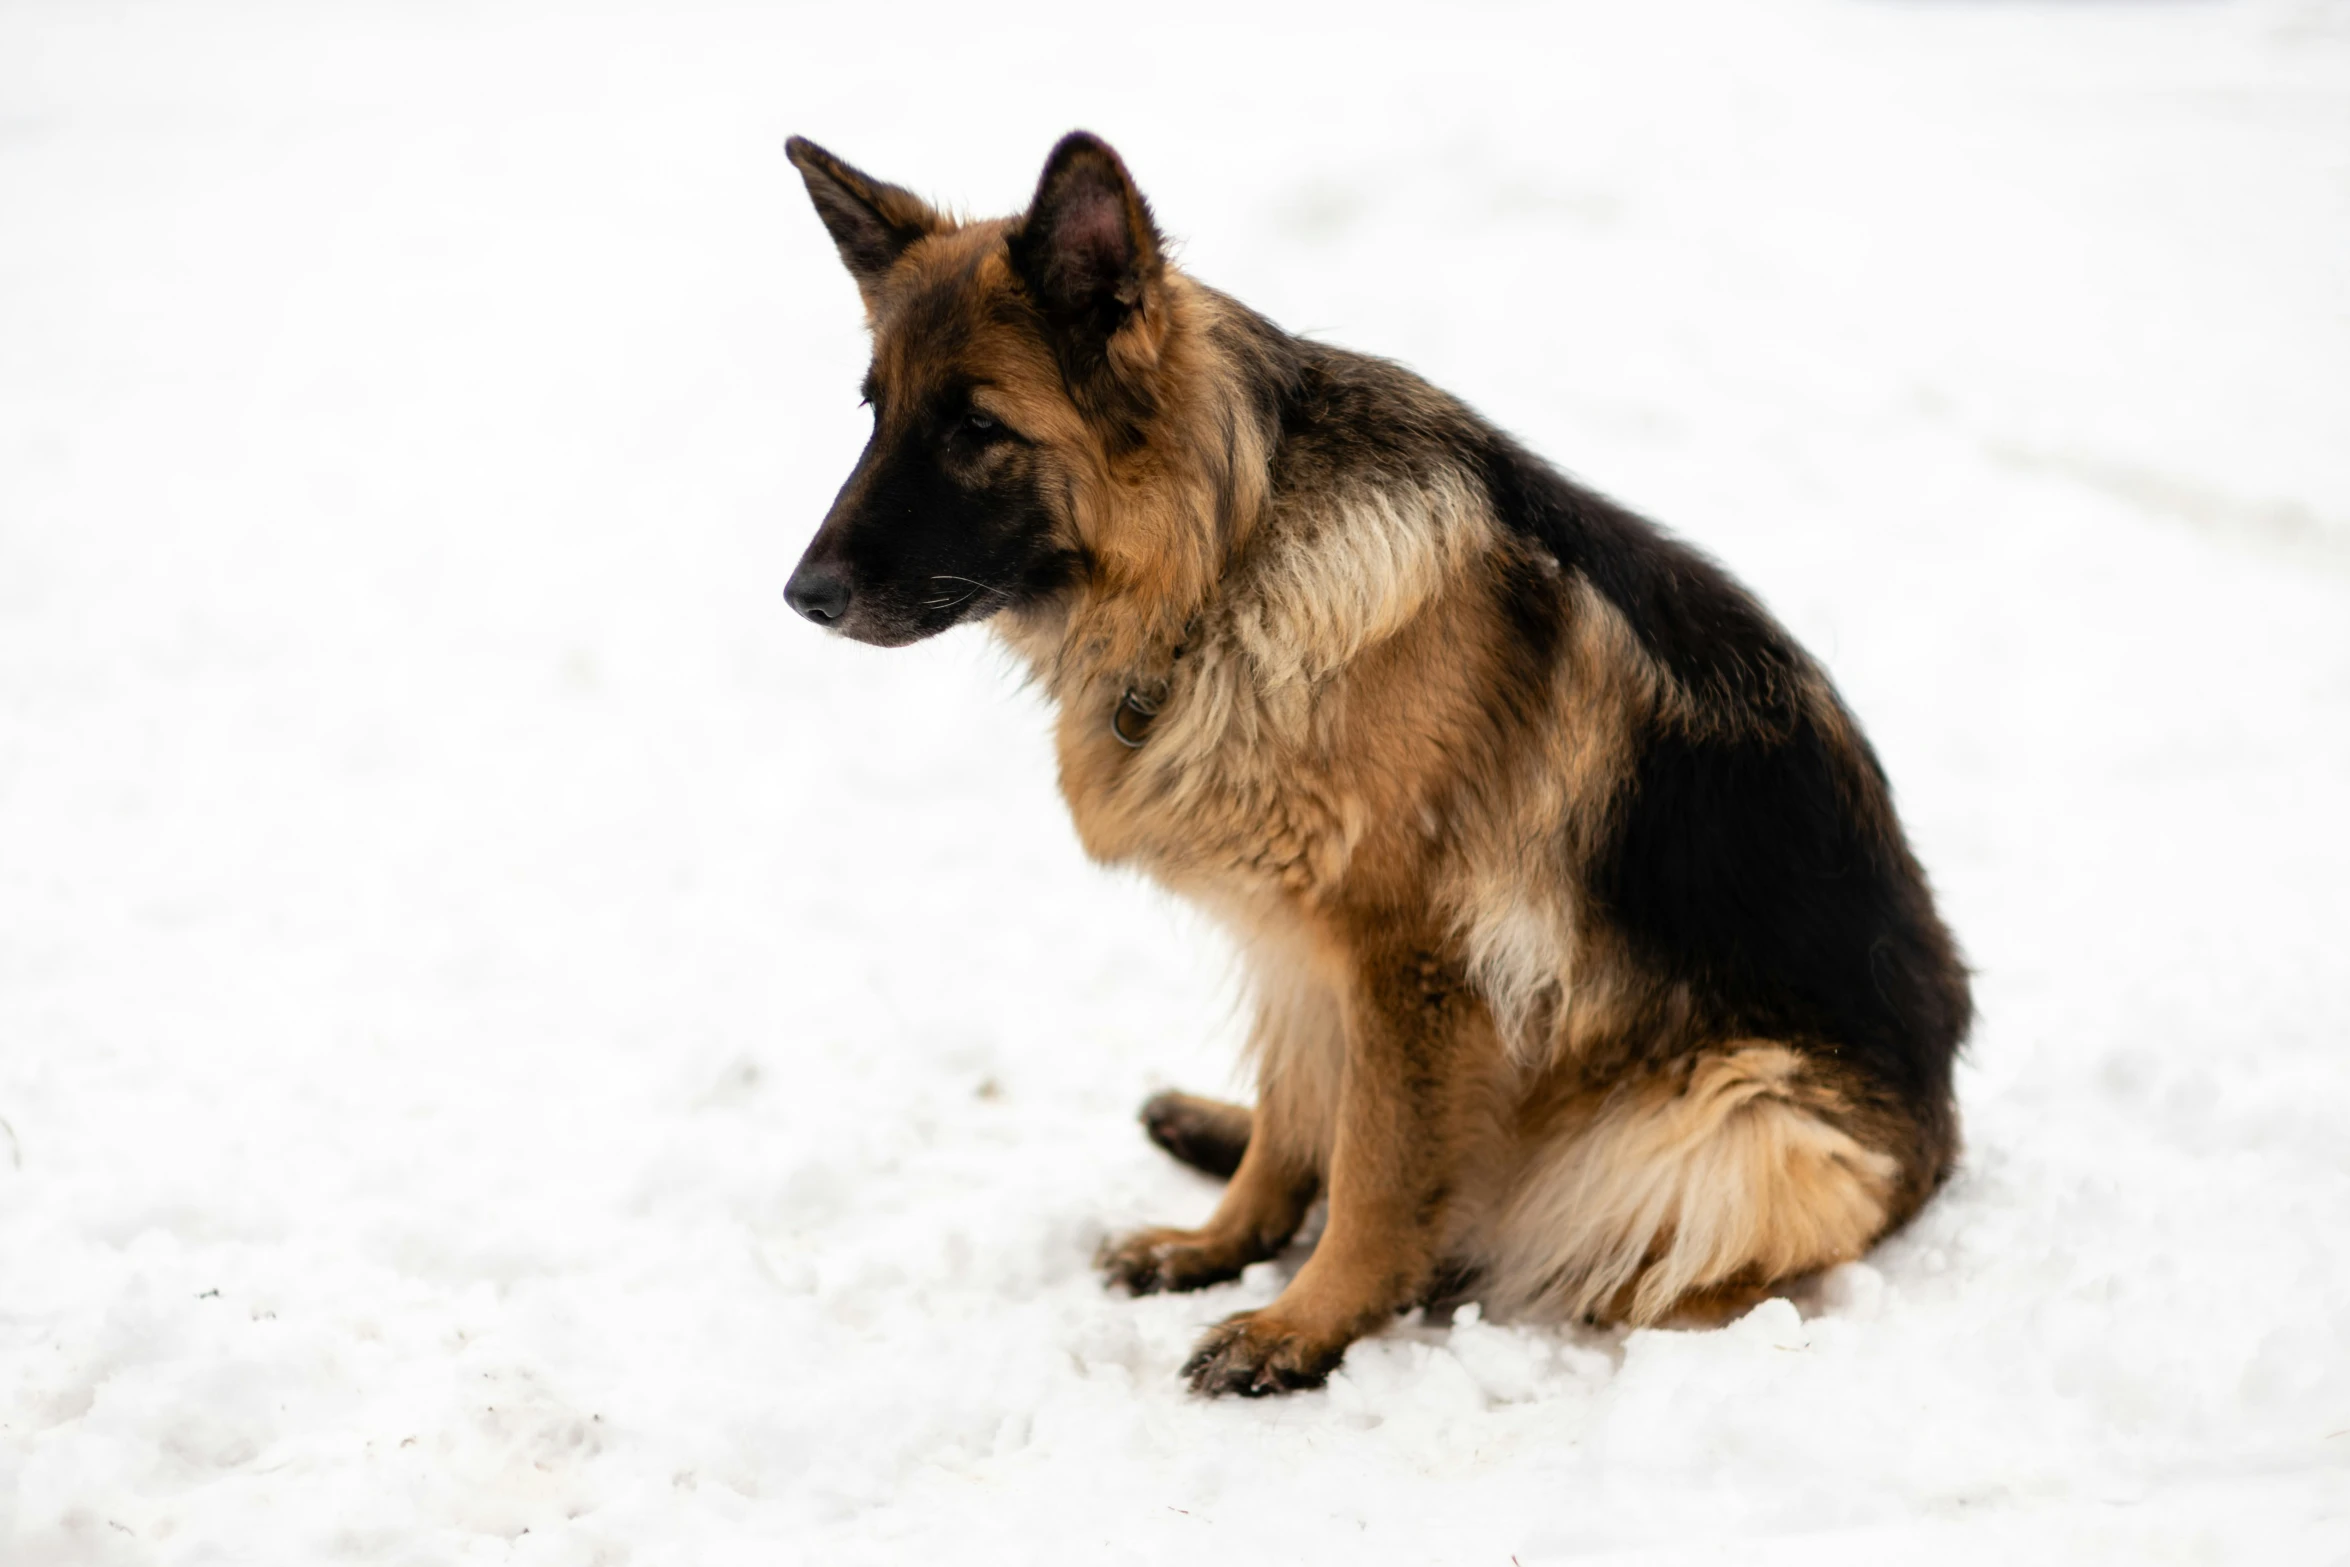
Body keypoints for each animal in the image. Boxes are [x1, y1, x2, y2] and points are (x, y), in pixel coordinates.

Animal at [784, 125, 1964, 1400]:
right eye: (875, 412)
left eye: (976, 428)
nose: (801, 596)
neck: (1227, 565)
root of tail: (1941, 1146)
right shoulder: (1295, 941)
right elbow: (1301, 1117)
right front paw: (1222, 1243)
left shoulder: (1409, 956)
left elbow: (1377, 1168)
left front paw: (1303, 1323)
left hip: (1740, 1121)